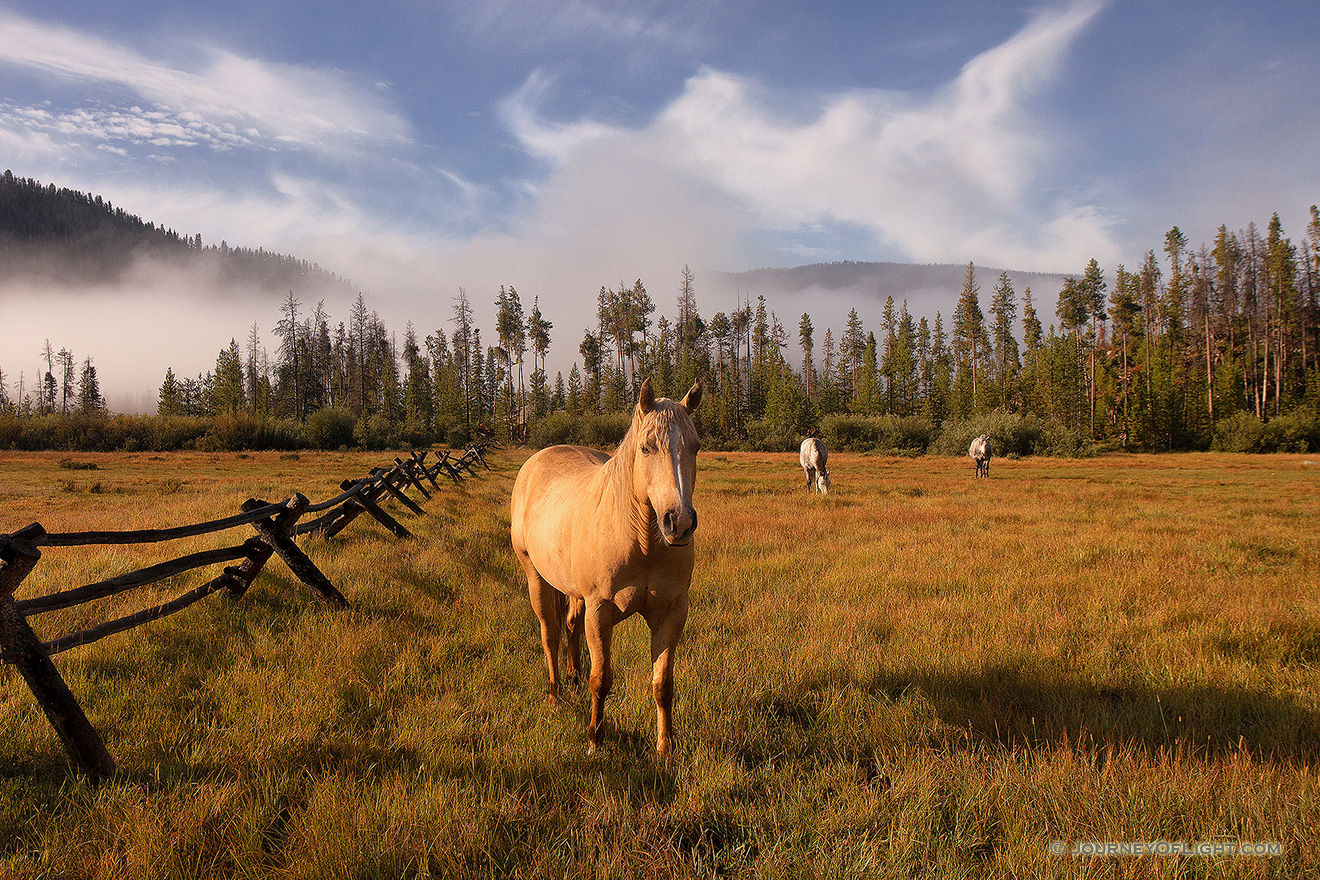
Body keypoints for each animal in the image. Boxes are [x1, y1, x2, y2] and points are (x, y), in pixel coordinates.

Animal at [512, 374, 702, 754]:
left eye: (696, 447)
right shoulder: (600, 611)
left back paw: (572, 677)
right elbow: (601, 679)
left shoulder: (671, 613)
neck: (641, 542)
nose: (679, 522)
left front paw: (665, 747)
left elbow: (663, 684)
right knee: (550, 633)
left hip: (573, 591)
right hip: (536, 578)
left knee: (570, 626)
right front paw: (594, 740)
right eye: (646, 448)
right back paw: (555, 695)